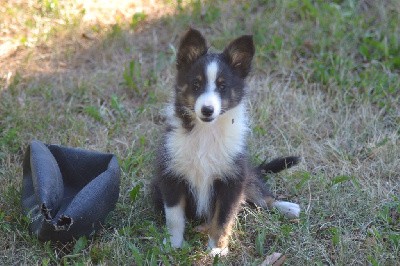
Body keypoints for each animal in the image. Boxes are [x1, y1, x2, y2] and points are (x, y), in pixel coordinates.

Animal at [152, 28, 300, 256]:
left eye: (222, 87)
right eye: (196, 84)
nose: (207, 110)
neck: (205, 132)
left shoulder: (232, 180)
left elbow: (223, 219)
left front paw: (217, 249)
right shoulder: (171, 175)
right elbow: (174, 217)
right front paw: (173, 245)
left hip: (246, 174)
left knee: (261, 196)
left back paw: (287, 207)